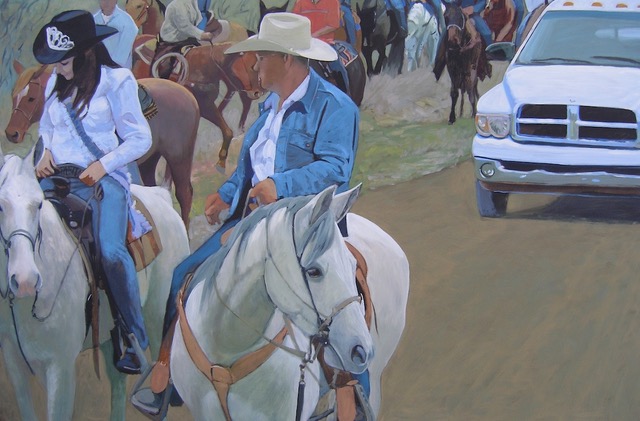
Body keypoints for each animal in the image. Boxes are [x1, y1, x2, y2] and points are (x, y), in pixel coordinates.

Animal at [0, 149, 190, 420]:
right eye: (0, 206)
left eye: (38, 204)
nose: (25, 280)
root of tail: (161, 197)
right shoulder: (14, 365)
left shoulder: (60, 368)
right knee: (118, 381)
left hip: (157, 317)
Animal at [5, 60, 200, 230]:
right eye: (13, 96)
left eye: (30, 98)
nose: (11, 133)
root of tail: (187, 94)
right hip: (150, 160)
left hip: (179, 157)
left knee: (184, 194)